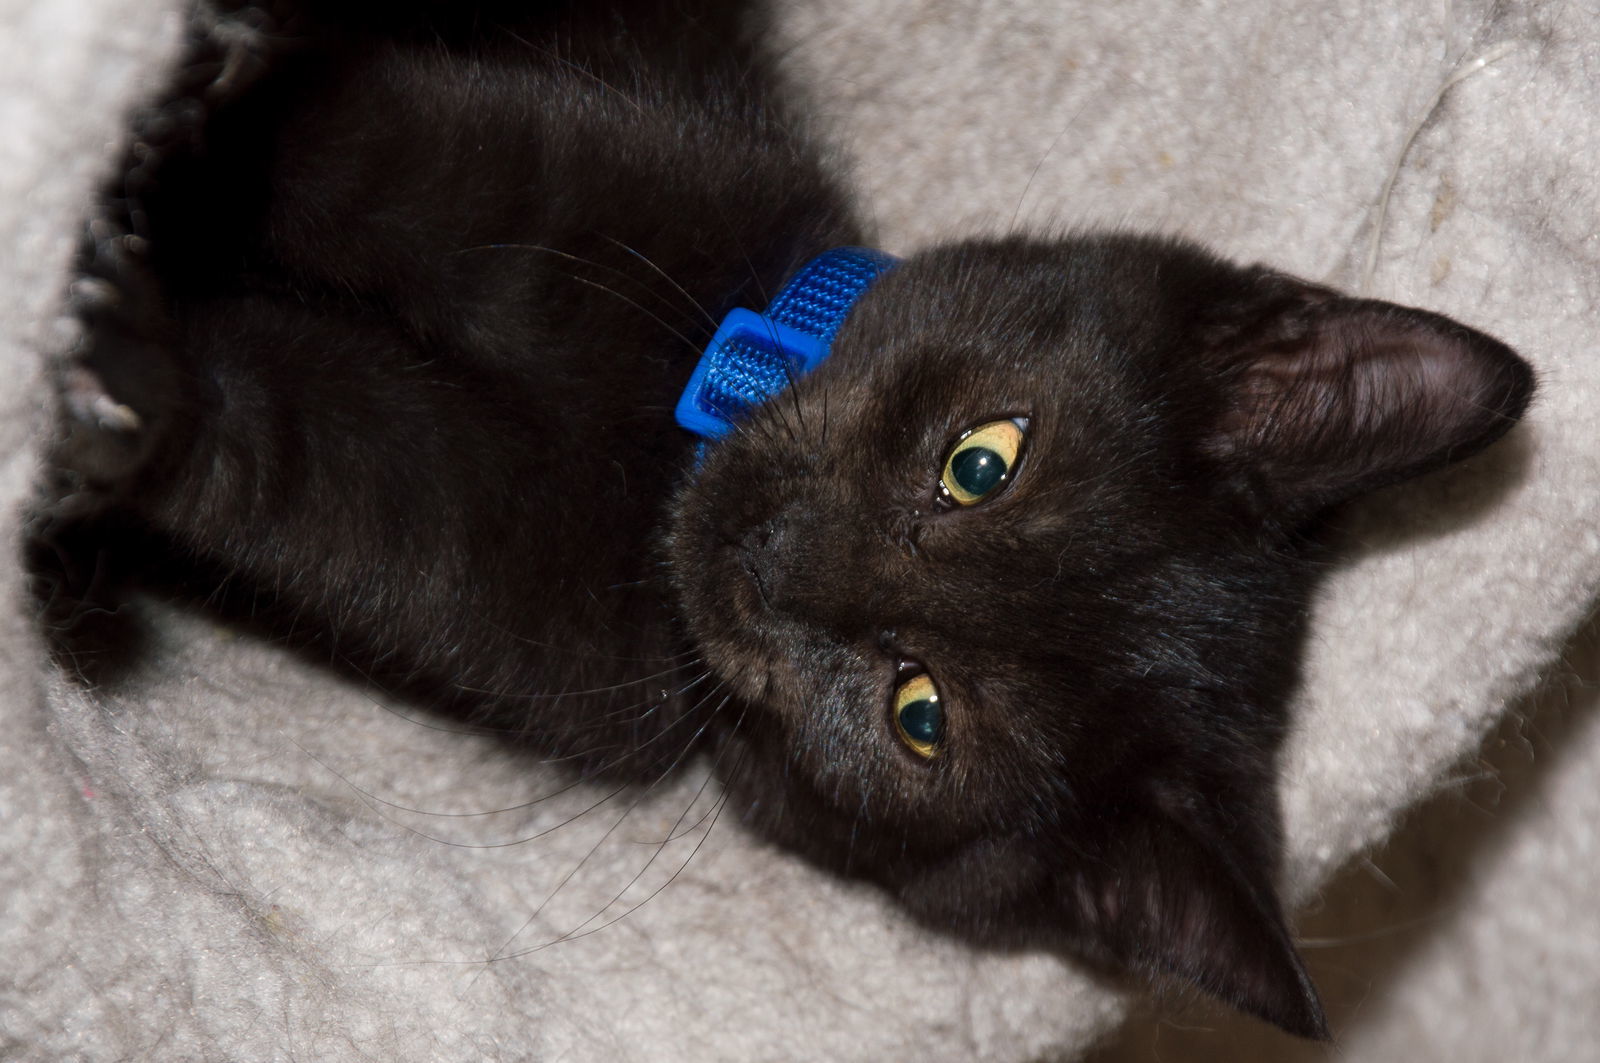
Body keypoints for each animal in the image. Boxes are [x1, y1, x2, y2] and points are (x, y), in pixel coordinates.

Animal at [34, 0, 1536, 1037]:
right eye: (983, 460)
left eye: (918, 714)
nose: (770, 561)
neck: (667, 444)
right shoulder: (557, 173)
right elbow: (369, 139)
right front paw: (189, 94)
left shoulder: (481, 562)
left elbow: (297, 455)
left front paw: (119, 391)